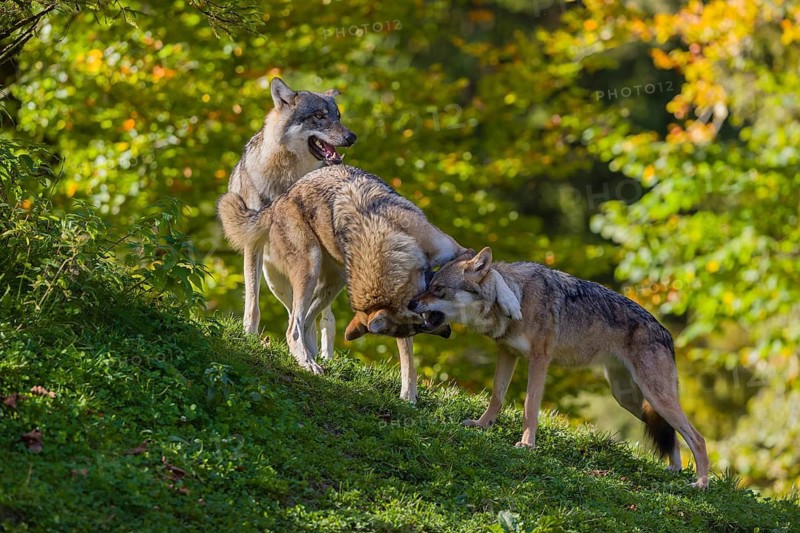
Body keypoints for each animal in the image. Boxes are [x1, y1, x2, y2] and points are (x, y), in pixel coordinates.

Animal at [218, 164, 479, 402]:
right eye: (419, 327)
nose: (447, 333)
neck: (385, 236)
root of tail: (278, 201)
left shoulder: (456, 252)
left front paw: (408, 396)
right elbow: (407, 352)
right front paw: (409, 396)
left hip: (334, 282)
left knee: (307, 321)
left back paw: (314, 357)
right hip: (309, 268)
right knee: (293, 326)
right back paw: (307, 363)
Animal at [226, 77, 356, 360]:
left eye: (338, 116)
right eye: (319, 116)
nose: (352, 137)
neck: (288, 176)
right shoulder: (252, 243)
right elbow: (252, 300)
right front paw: (249, 335)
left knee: (323, 319)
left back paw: (322, 355)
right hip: (276, 279)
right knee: (295, 313)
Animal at [409, 247, 710, 488]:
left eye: (437, 289)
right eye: (429, 284)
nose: (411, 302)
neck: (518, 297)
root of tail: (667, 333)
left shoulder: (539, 360)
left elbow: (529, 406)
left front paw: (527, 444)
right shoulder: (506, 353)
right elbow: (496, 396)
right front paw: (482, 425)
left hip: (656, 397)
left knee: (698, 438)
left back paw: (701, 484)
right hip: (631, 400)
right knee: (673, 435)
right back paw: (674, 470)